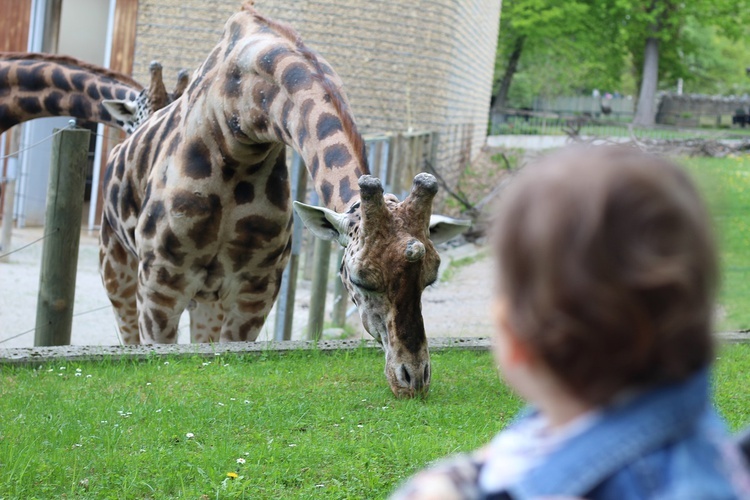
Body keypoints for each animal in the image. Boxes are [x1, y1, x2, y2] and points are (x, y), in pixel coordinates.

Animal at [97, 1, 468, 396]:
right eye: (360, 279)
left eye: (430, 277)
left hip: (207, 299)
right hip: (118, 271)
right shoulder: (160, 287)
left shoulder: (255, 292)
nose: (413, 379)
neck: (238, 122)